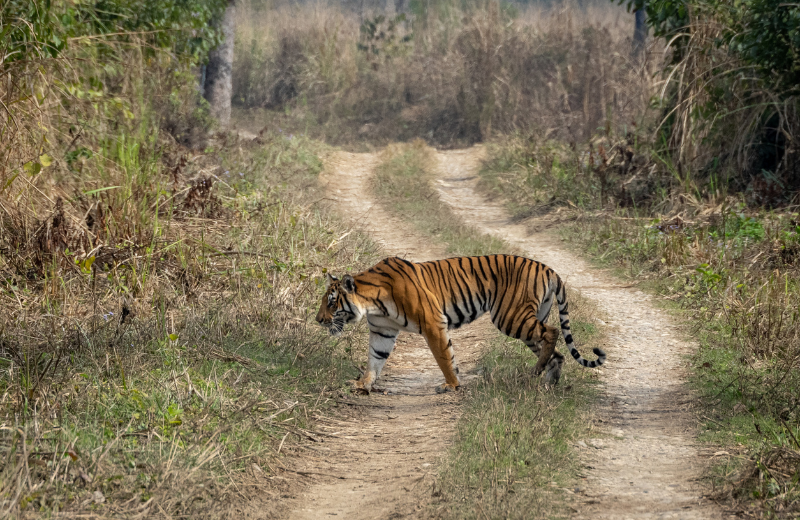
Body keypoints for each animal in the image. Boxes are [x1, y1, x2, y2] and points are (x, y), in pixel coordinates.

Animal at [316, 254, 604, 392]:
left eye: (331, 303)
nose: (318, 320)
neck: (372, 302)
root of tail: (548, 268)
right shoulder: (382, 331)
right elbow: (375, 360)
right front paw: (363, 384)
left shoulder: (433, 323)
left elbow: (444, 357)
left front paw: (451, 385)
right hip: (527, 322)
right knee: (557, 352)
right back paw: (547, 380)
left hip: (511, 317)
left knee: (553, 331)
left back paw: (537, 371)